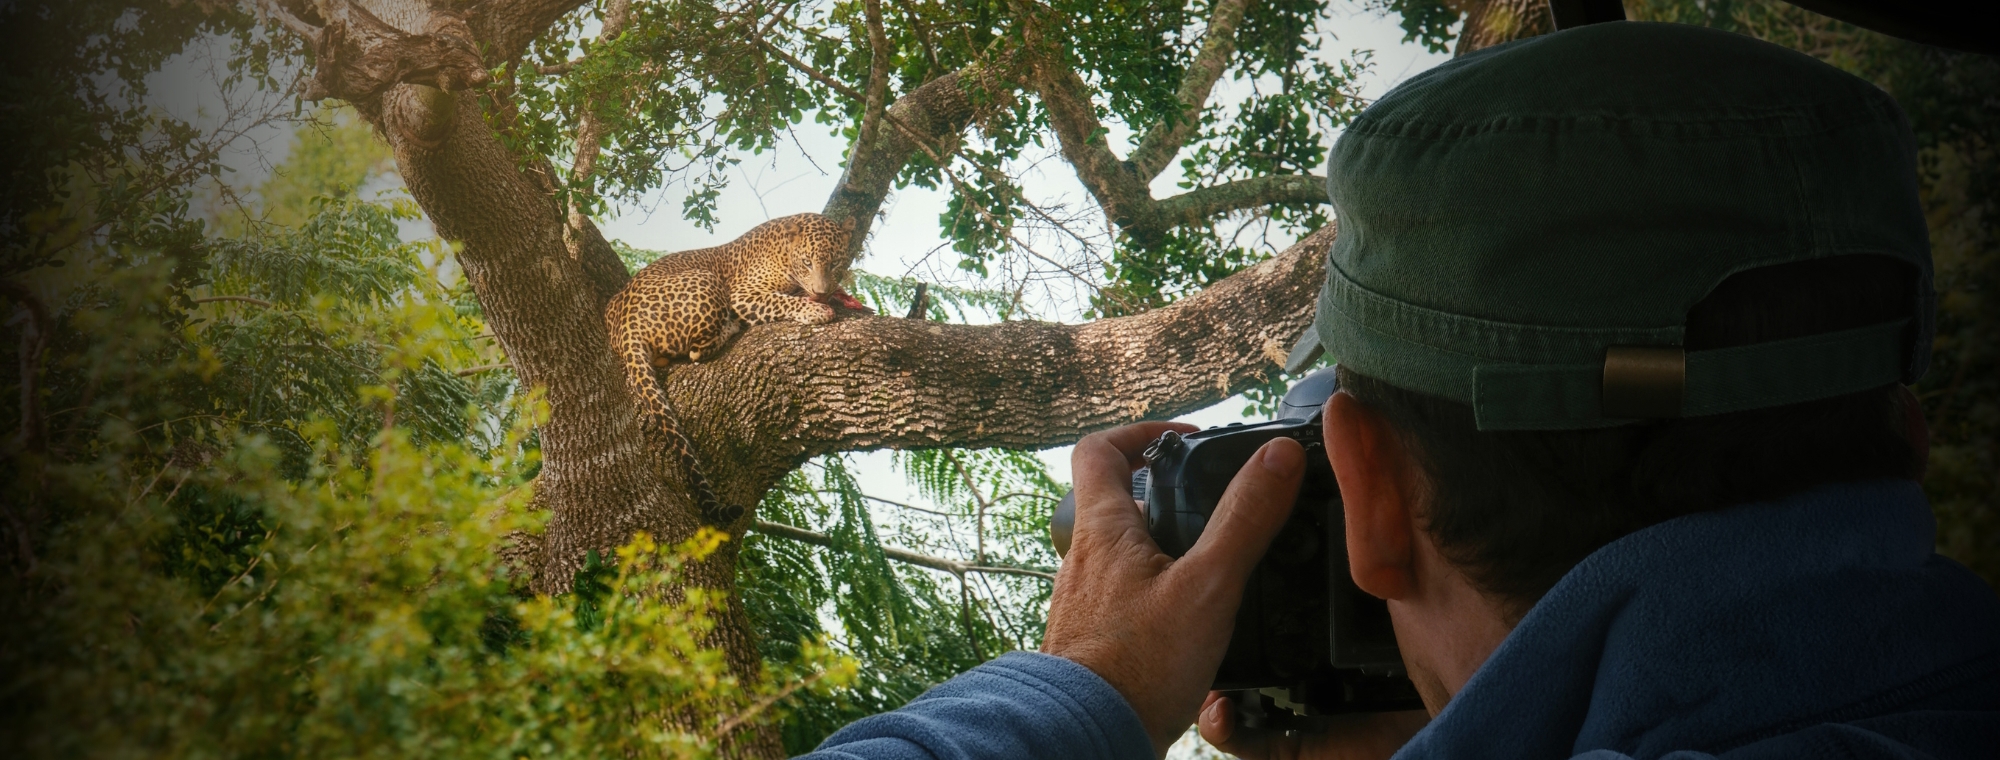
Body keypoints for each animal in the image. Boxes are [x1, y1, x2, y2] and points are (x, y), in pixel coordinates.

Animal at [604, 212, 861, 525]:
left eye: (835, 263)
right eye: (807, 262)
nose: (821, 293)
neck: (784, 252)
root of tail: (625, 325)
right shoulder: (743, 293)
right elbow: (780, 300)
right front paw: (816, 310)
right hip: (707, 280)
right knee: (696, 349)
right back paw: (731, 325)